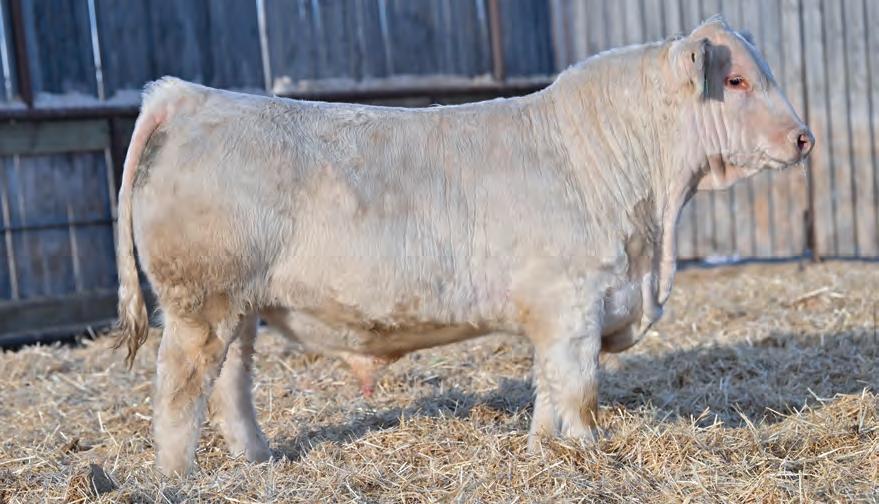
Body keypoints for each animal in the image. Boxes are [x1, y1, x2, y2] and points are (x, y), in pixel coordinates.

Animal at [114, 16, 813, 476]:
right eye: (738, 81)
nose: (804, 137)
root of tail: (187, 95)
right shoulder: (573, 303)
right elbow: (580, 392)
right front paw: (590, 455)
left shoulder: (556, 316)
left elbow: (548, 390)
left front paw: (543, 453)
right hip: (201, 302)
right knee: (178, 390)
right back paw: (178, 478)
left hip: (238, 307)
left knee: (230, 384)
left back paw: (256, 461)